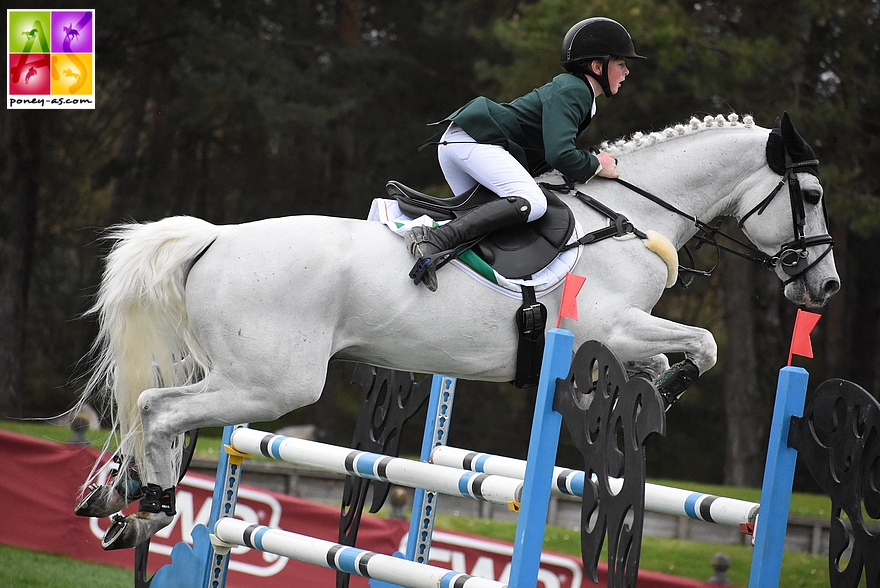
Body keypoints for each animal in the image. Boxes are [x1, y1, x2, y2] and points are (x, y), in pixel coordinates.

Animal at [75, 112, 840, 548]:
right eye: (809, 194)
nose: (825, 287)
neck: (631, 219)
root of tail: (216, 238)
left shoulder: (625, 336)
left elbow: (672, 359)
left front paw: (648, 394)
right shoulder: (616, 328)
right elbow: (701, 346)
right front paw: (661, 392)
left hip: (239, 376)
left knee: (149, 412)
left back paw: (116, 497)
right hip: (270, 384)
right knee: (157, 409)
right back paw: (147, 508)